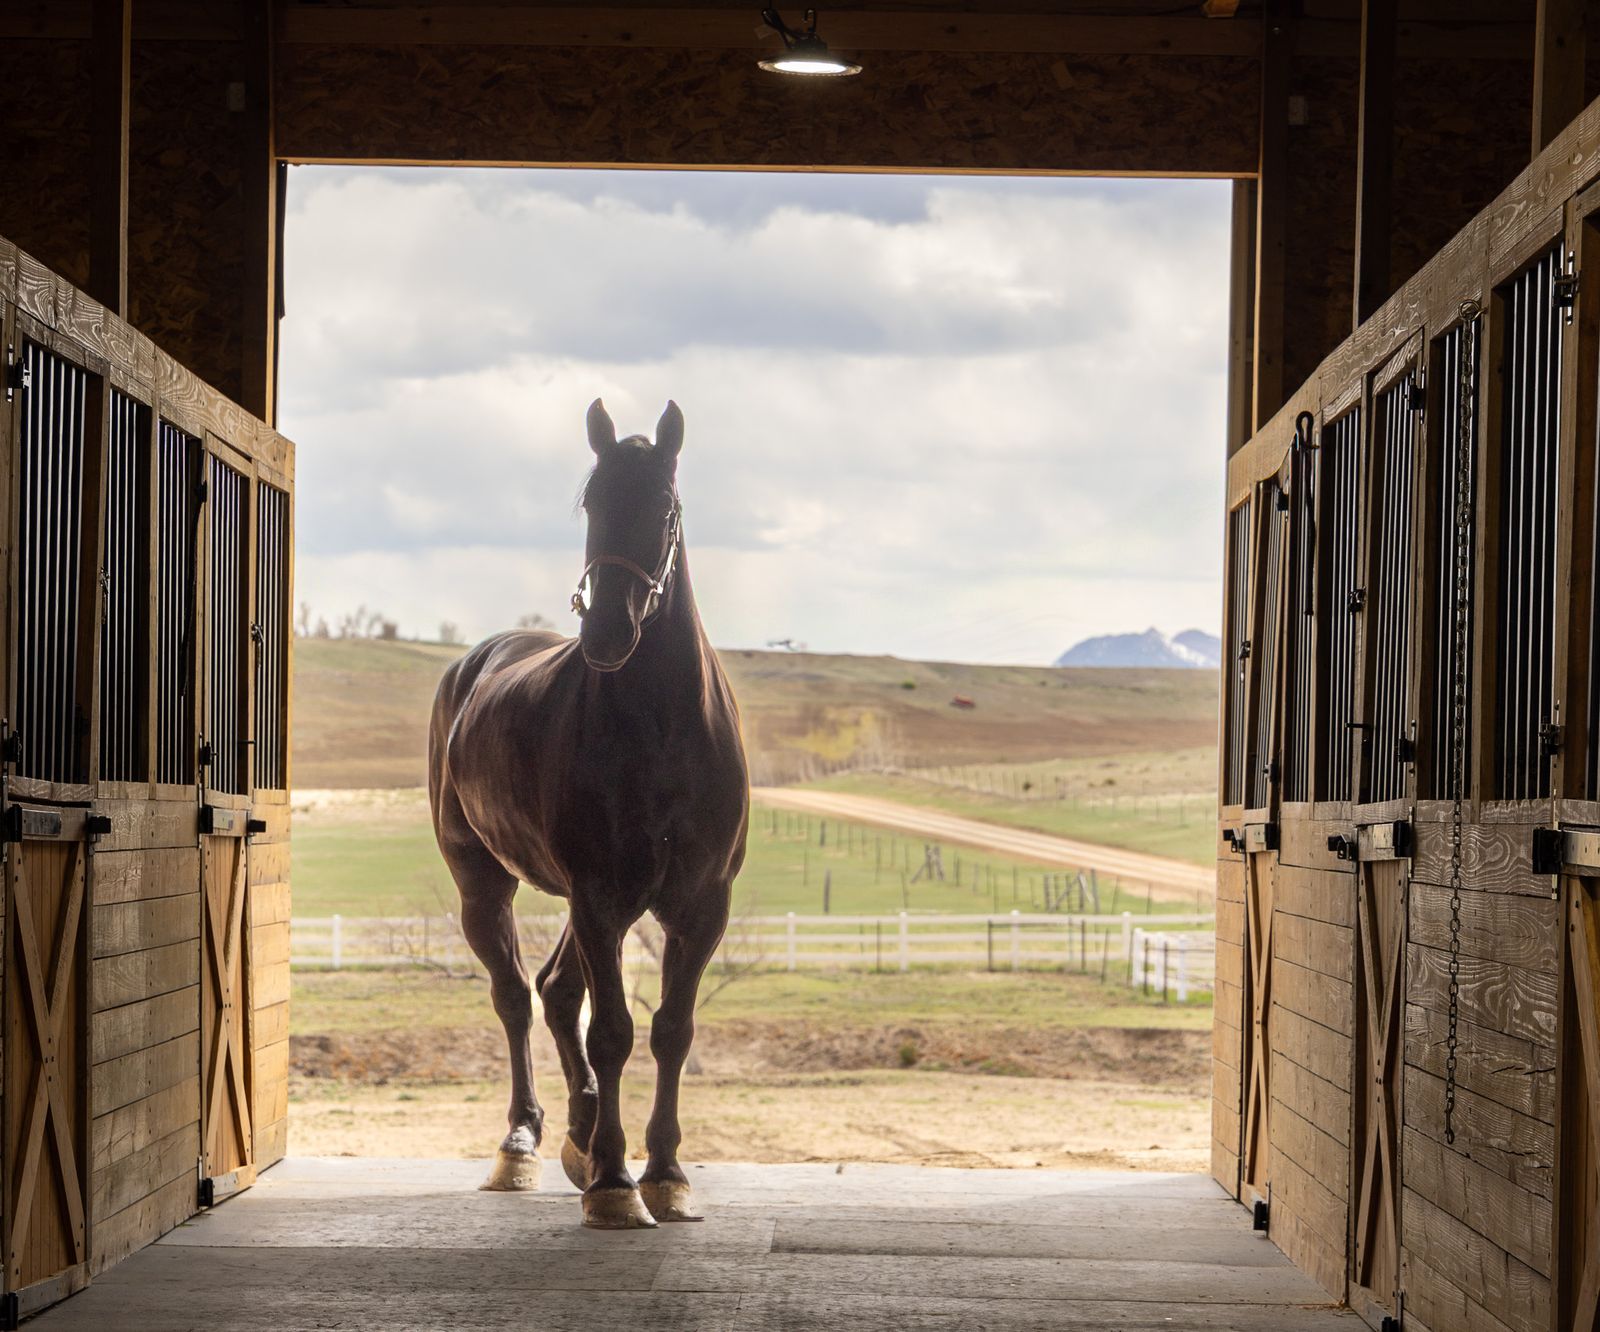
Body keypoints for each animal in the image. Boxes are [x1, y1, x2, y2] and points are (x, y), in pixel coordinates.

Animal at [427, 399, 749, 1228]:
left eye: (664, 509)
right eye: (592, 504)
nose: (606, 634)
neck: (663, 729)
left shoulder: (698, 906)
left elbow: (671, 1030)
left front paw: (665, 1173)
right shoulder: (601, 900)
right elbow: (612, 1032)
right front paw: (613, 1182)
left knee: (554, 990)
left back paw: (576, 1132)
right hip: (488, 885)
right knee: (515, 995)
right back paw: (523, 1143)